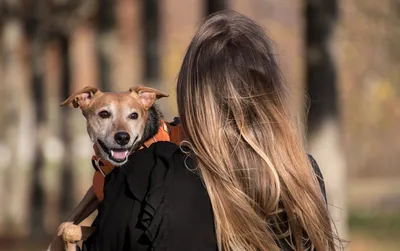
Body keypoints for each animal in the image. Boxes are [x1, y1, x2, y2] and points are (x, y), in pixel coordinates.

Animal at [47, 85, 172, 251]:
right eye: (104, 114)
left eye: (134, 115)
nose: (123, 137)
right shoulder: (94, 191)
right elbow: (65, 224)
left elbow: (70, 230)